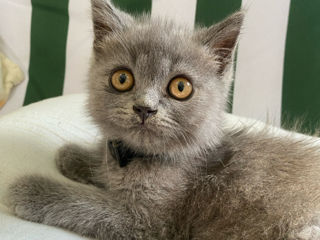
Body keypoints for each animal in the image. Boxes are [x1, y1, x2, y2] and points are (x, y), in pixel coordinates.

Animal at [6, 0, 320, 239]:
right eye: (122, 78)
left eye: (181, 87)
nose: (145, 108)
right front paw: (77, 156)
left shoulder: (147, 222)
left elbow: (86, 203)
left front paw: (32, 190)